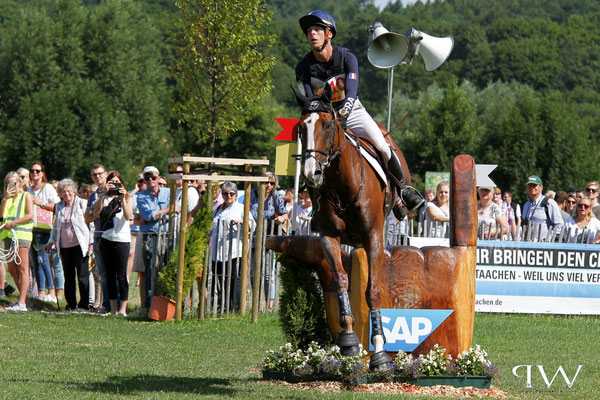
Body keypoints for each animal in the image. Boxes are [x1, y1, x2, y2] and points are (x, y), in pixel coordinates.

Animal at [292, 85, 410, 372]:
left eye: (327, 125)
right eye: (301, 128)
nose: (312, 173)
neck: (342, 183)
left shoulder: (373, 237)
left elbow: (373, 290)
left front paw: (379, 349)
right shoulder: (329, 238)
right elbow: (341, 281)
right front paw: (348, 340)